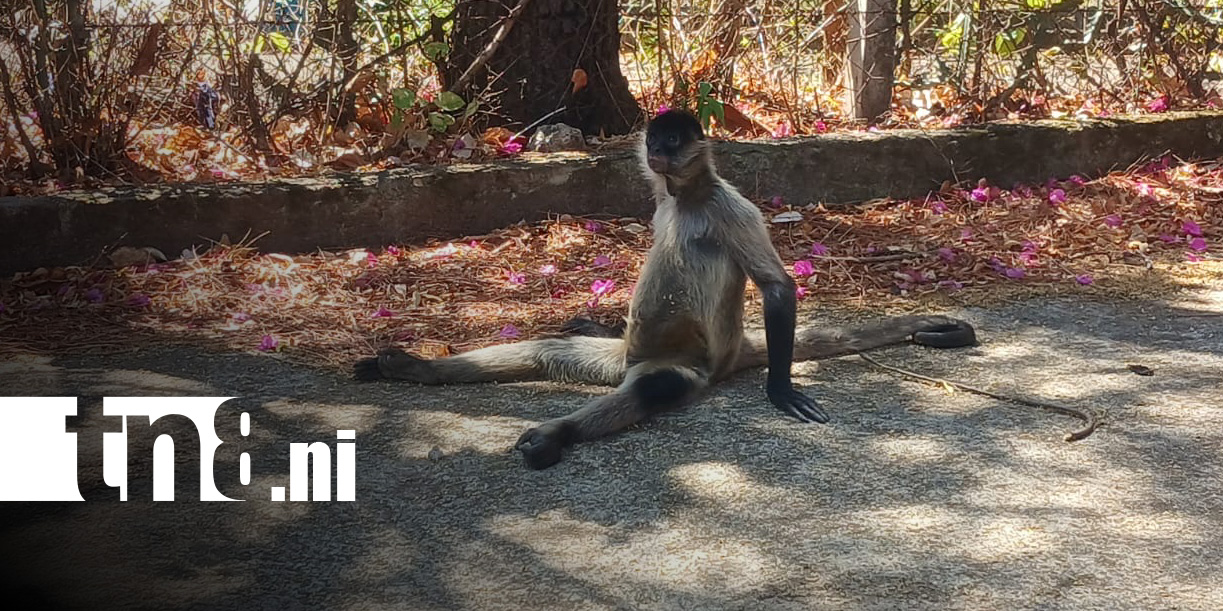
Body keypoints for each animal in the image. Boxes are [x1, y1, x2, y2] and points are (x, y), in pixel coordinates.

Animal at [355, 109, 976, 469]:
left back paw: (556, 435)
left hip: (684, 366)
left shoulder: (732, 205)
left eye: (674, 141)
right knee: (547, 349)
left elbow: (777, 287)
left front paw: (780, 390)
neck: (687, 197)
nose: (657, 152)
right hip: (620, 355)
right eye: (654, 140)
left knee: (655, 386)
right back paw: (415, 369)